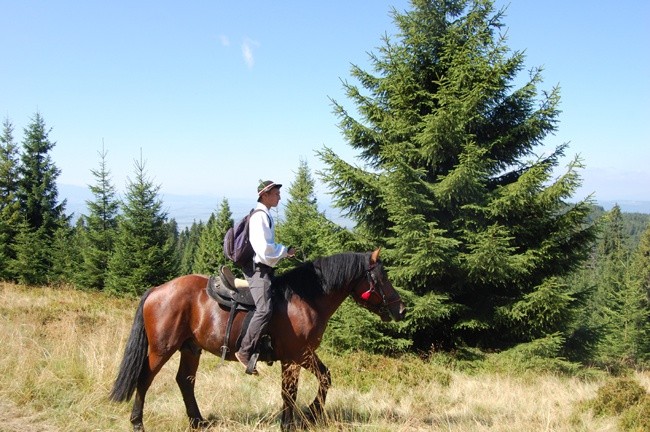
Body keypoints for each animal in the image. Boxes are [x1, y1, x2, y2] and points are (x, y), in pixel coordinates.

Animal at [110, 250, 404, 432]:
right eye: (382, 277)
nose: (401, 309)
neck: (306, 300)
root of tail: (158, 290)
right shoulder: (295, 356)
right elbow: (290, 391)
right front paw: (292, 422)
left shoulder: (304, 354)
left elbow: (324, 377)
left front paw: (310, 414)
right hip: (162, 348)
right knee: (144, 379)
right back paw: (137, 423)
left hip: (191, 348)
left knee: (185, 381)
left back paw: (198, 421)